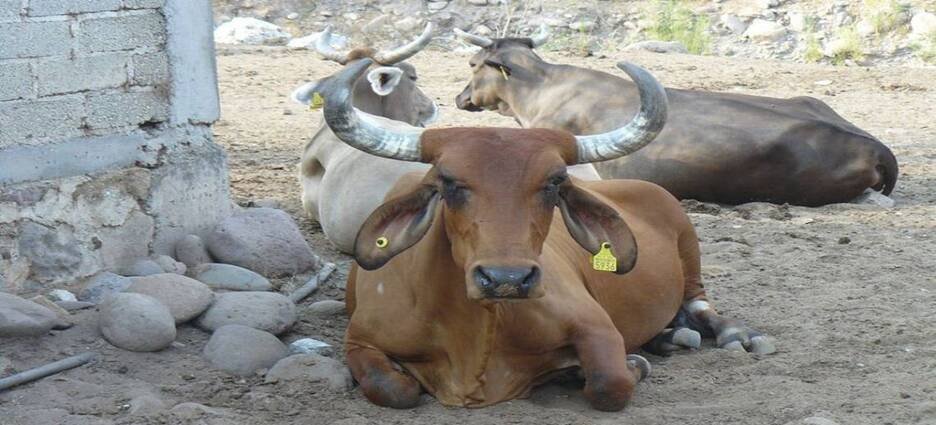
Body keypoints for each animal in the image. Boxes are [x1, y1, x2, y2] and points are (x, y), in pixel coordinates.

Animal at [316, 58, 774, 411]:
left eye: (554, 182)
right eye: (448, 182)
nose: (507, 279)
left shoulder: (597, 327)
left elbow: (610, 384)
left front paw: (621, 366)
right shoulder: (360, 341)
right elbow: (395, 388)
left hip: (688, 243)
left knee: (699, 304)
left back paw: (731, 334)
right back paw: (666, 337)